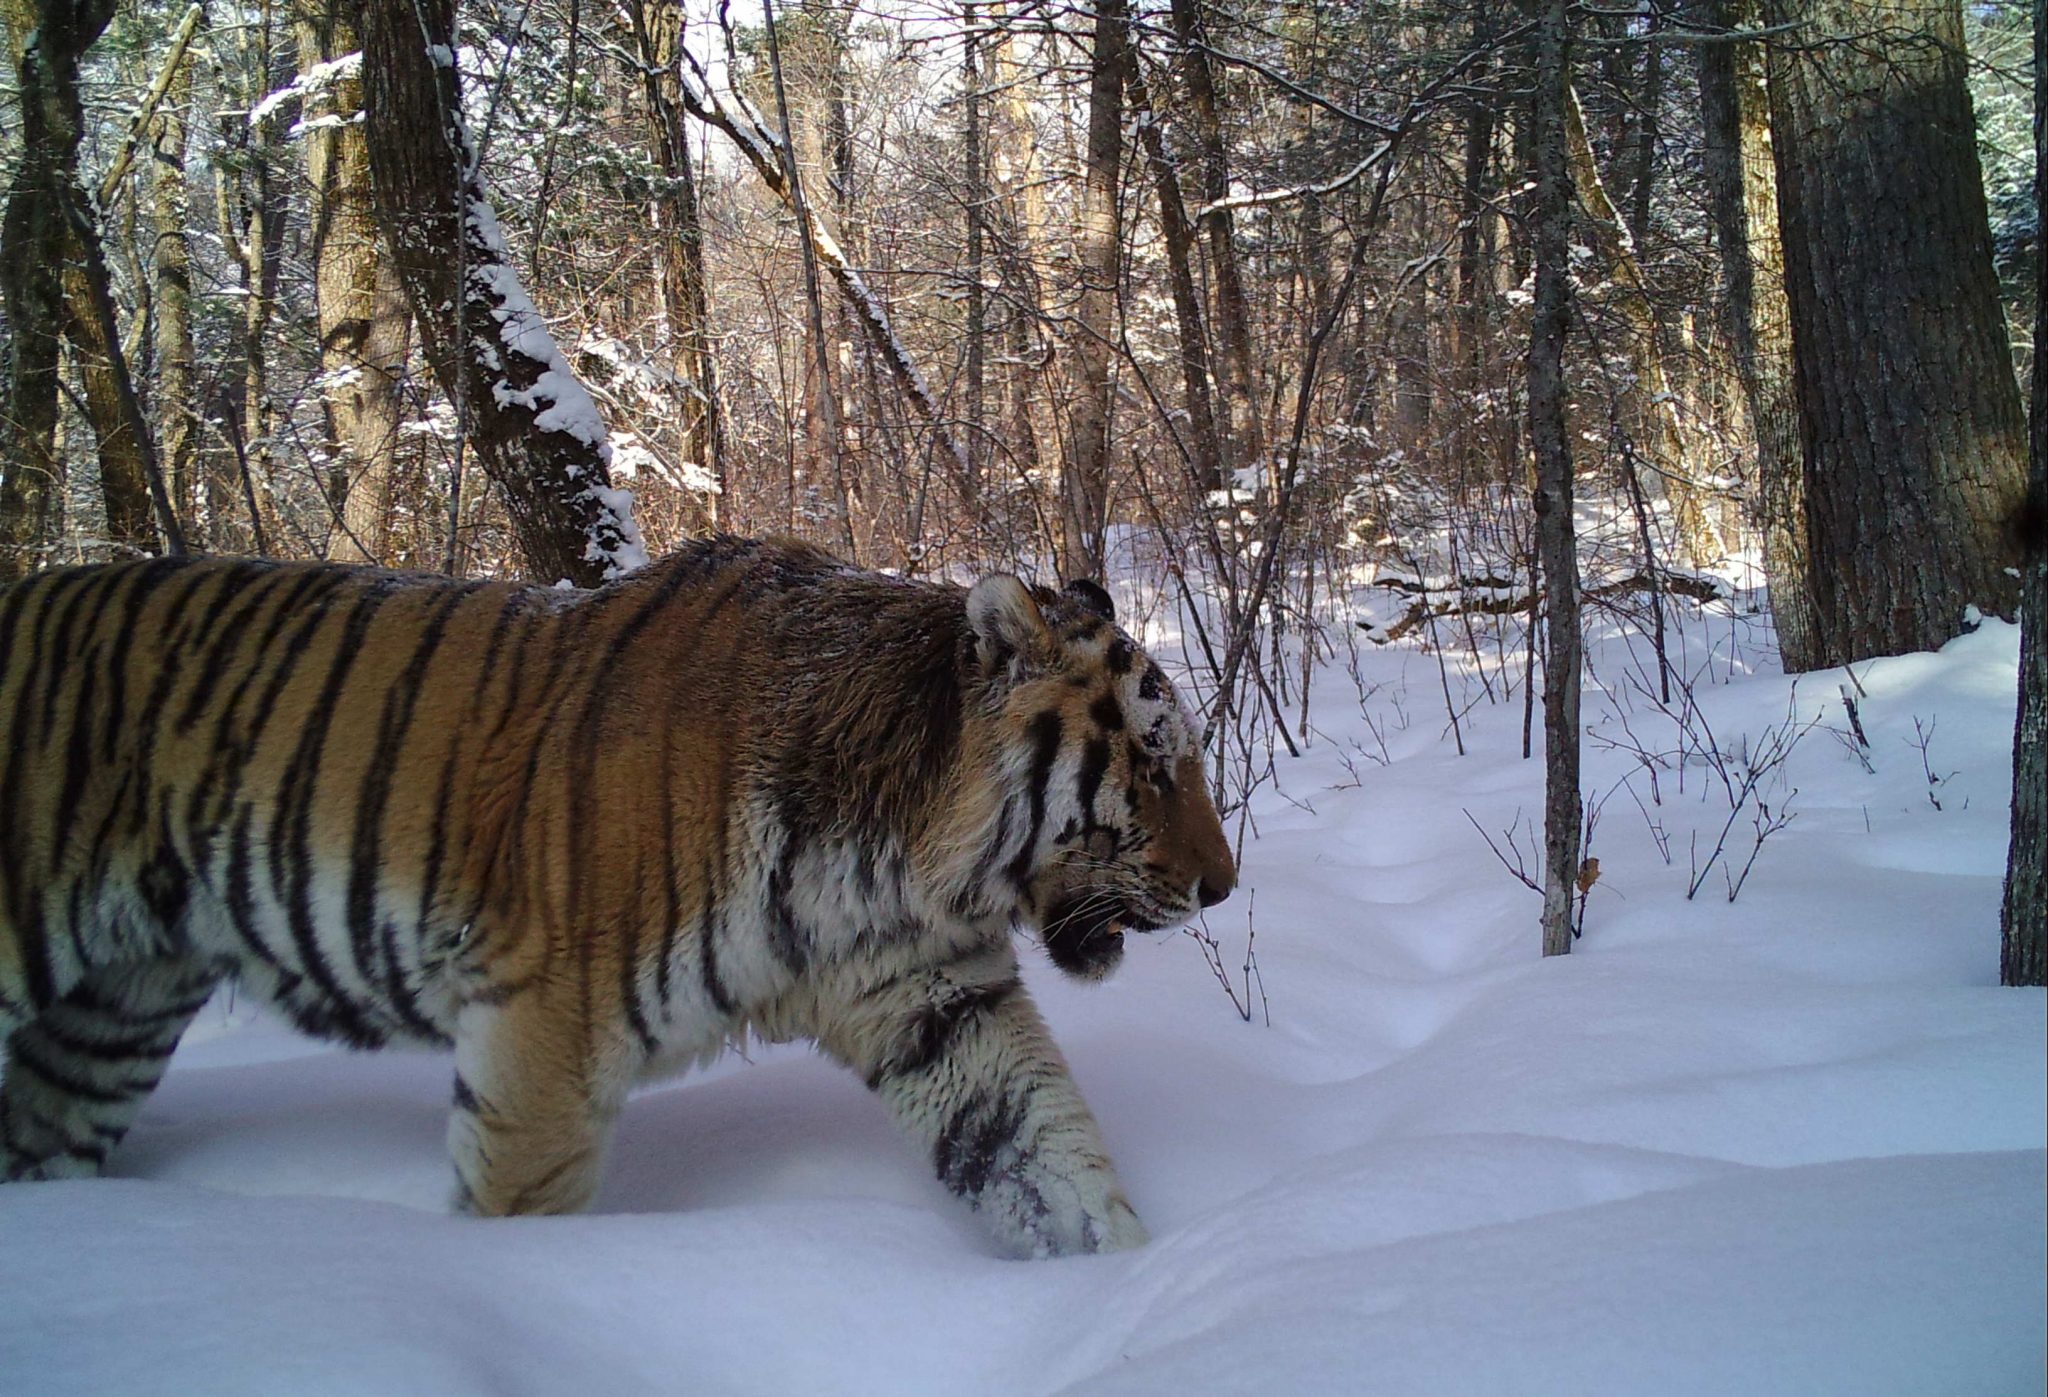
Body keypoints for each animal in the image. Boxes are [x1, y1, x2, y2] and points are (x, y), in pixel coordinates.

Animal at [0, 532, 1228, 1253]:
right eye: (1154, 760)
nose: (1222, 886)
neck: (895, 862)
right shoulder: (542, 1032)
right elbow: (519, 1209)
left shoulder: (938, 1004)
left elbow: (1049, 1158)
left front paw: (1127, 1293)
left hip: (113, 1010)